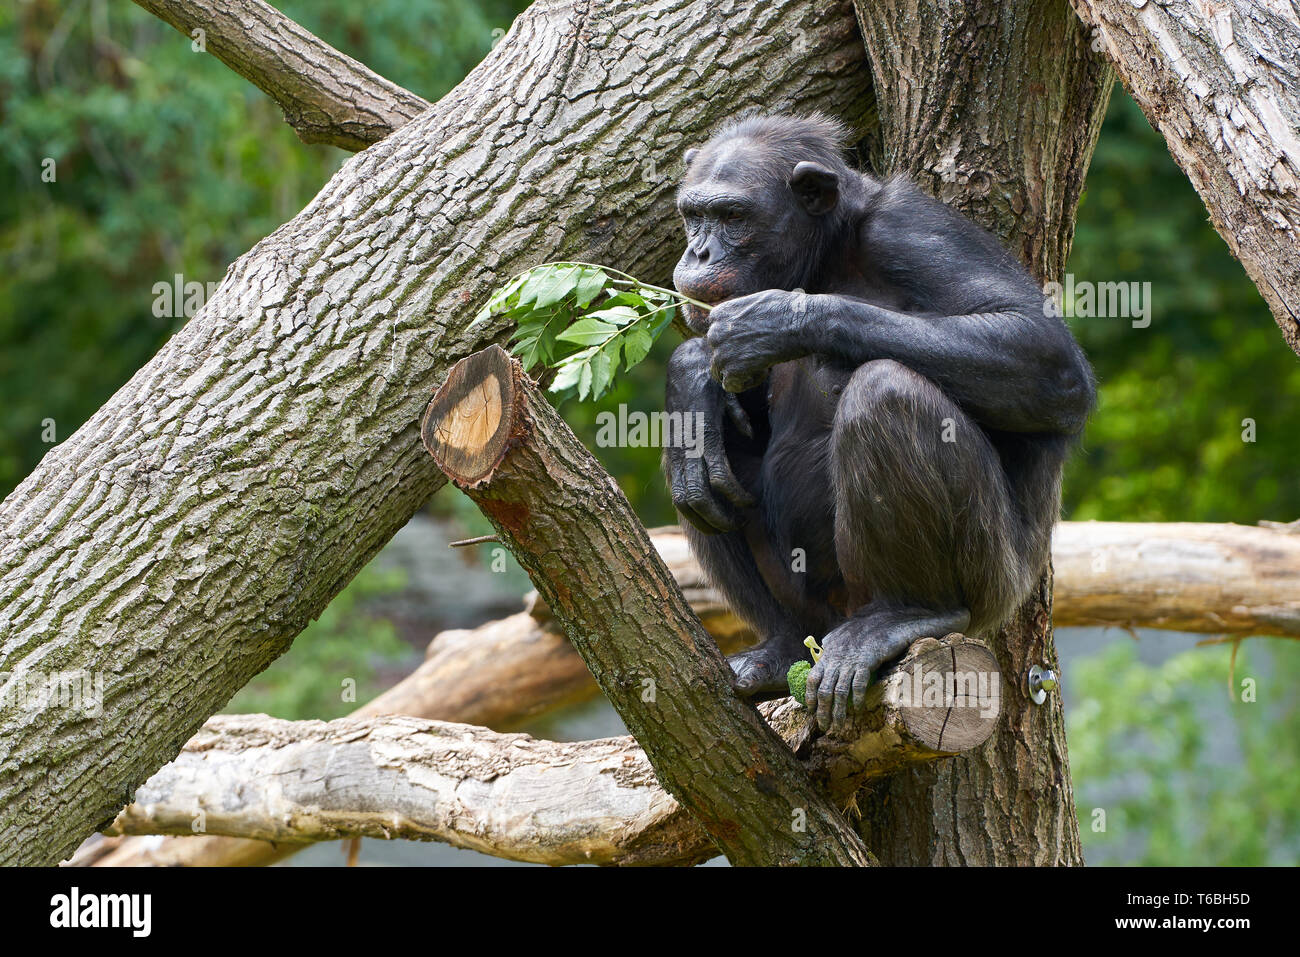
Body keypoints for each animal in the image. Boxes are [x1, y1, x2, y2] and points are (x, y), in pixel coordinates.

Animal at [665, 111, 1092, 733]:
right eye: (694, 215)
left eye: (733, 217)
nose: (697, 252)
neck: (826, 255)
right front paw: (692, 374)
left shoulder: (913, 231)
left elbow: (1042, 350)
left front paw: (773, 320)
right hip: (818, 614)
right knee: (703, 471)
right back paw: (781, 646)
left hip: (993, 583)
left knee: (887, 392)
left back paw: (908, 613)